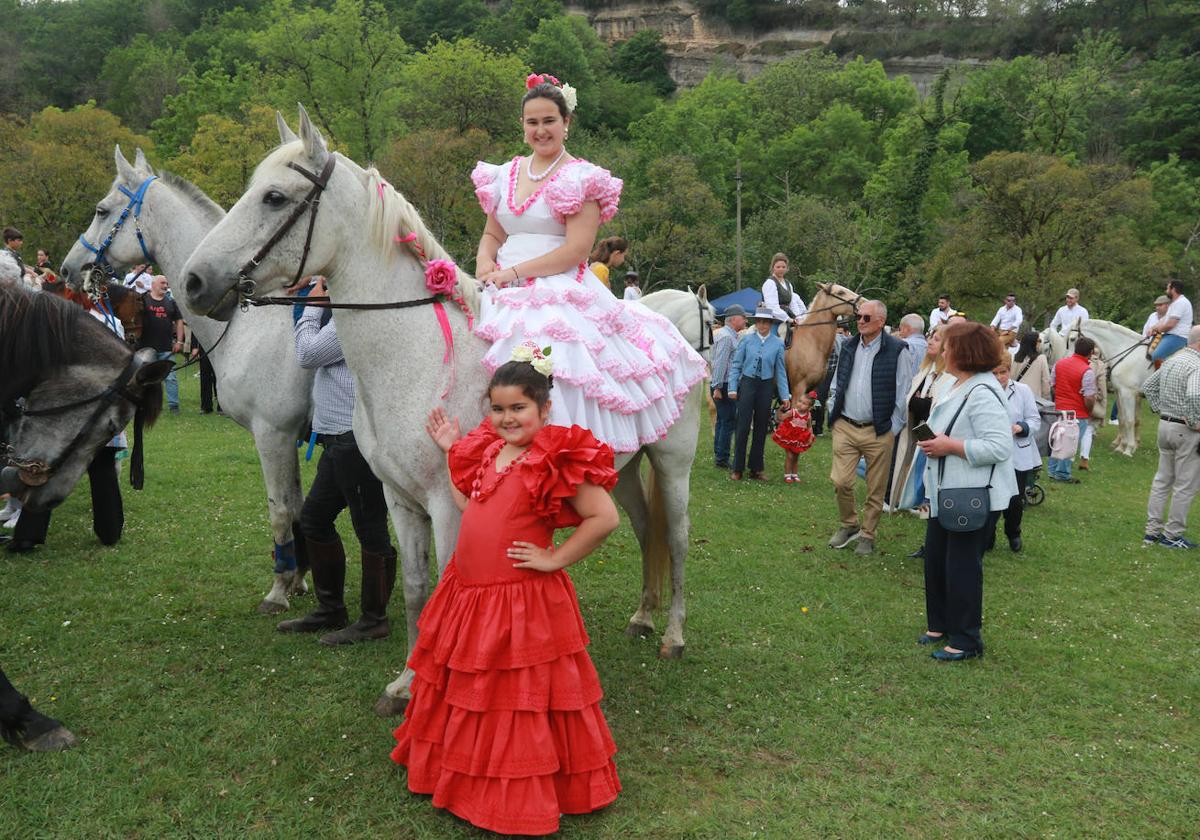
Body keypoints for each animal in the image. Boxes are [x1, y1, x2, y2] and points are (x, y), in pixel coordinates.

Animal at [61, 147, 316, 614]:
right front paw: (300, 579)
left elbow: (280, 512)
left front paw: (279, 589)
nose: (69, 268)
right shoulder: (288, 437)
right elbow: (297, 507)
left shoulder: (272, 434)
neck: (246, 323)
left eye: (102, 210)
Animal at [178, 103, 700, 710]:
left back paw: (673, 636)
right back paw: (642, 616)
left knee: (677, 541)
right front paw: (407, 681)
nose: (193, 281)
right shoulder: (400, 499)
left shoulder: (449, 505)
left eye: (275, 198)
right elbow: (414, 591)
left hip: (673, 466)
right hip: (625, 468)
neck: (418, 354)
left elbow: (451, 591)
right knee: (646, 531)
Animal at [1080, 319, 1152, 456]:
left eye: (1071, 338)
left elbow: (1131, 420)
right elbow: (1123, 418)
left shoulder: (1129, 393)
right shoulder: (1120, 391)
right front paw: (1121, 445)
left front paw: (1129, 448)